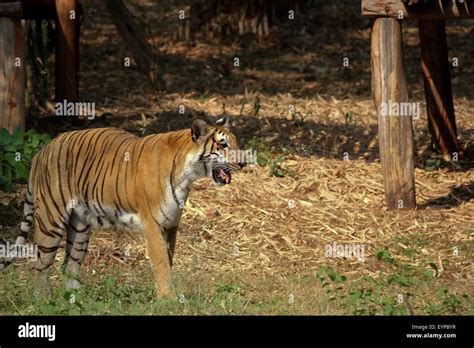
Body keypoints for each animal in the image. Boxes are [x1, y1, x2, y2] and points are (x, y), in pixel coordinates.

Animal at [7, 117, 246, 300]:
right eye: (223, 145)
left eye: (235, 142)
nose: (244, 163)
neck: (187, 174)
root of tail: (41, 151)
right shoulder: (153, 224)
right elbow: (161, 262)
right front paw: (168, 300)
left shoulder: (171, 225)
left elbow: (169, 260)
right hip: (51, 219)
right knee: (37, 264)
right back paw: (44, 300)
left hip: (80, 229)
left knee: (70, 267)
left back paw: (76, 301)